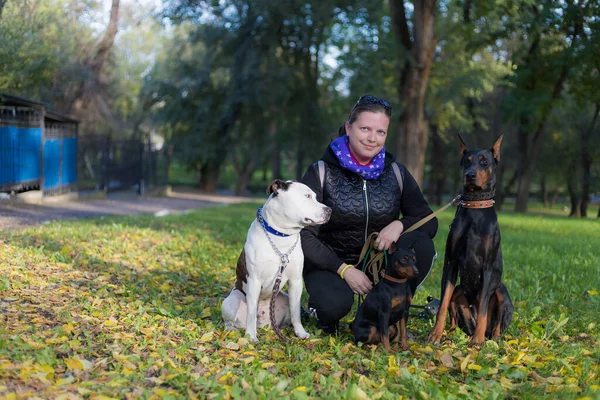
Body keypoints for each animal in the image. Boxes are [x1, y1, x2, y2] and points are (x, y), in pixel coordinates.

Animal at [221, 180, 330, 342]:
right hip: (233, 300)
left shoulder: (296, 281)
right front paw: (250, 335)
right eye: (307, 196)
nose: (329, 210)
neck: (281, 236)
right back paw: (232, 330)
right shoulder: (254, 281)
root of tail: (264, 323)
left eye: (315, 197)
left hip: (284, 298)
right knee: (232, 320)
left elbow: (296, 311)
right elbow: (251, 313)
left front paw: (300, 332)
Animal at [428, 134, 512, 346]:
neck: (475, 206)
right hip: (459, 290)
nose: (470, 175)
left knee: (497, 324)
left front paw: (477, 341)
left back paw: (490, 337)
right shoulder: (451, 263)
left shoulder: (487, 267)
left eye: (484, 162)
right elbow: (442, 304)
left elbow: (482, 309)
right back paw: (449, 333)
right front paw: (435, 334)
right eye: (466, 161)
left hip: (501, 290)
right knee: (453, 316)